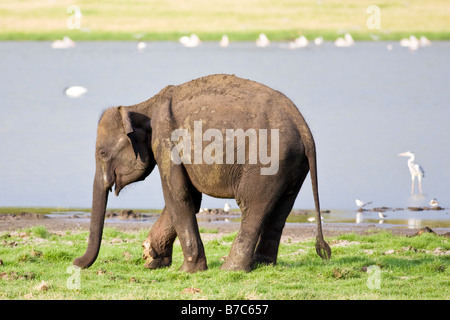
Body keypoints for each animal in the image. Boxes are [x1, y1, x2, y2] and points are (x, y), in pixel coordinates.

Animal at [74, 73, 330, 272]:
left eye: (102, 153)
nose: (76, 261)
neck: (144, 106)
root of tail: (304, 129)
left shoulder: (165, 140)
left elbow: (178, 196)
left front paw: (187, 271)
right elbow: (189, 197)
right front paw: (153, 261)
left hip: (268, 163)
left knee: (252, 206)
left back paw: (231, 269)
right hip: (293, 166)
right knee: (281, 210)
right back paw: (263, 265)